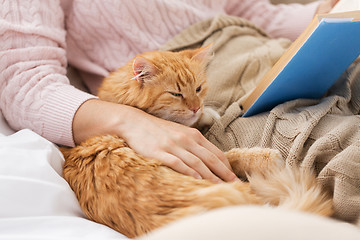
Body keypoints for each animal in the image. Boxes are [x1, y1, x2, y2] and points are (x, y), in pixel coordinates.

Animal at [60, 46, 334, 238]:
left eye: (199, 89)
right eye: (176, 93)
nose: (195, 107)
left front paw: (205, 114)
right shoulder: (206, 155)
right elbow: (230, 155)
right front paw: (265, 155)